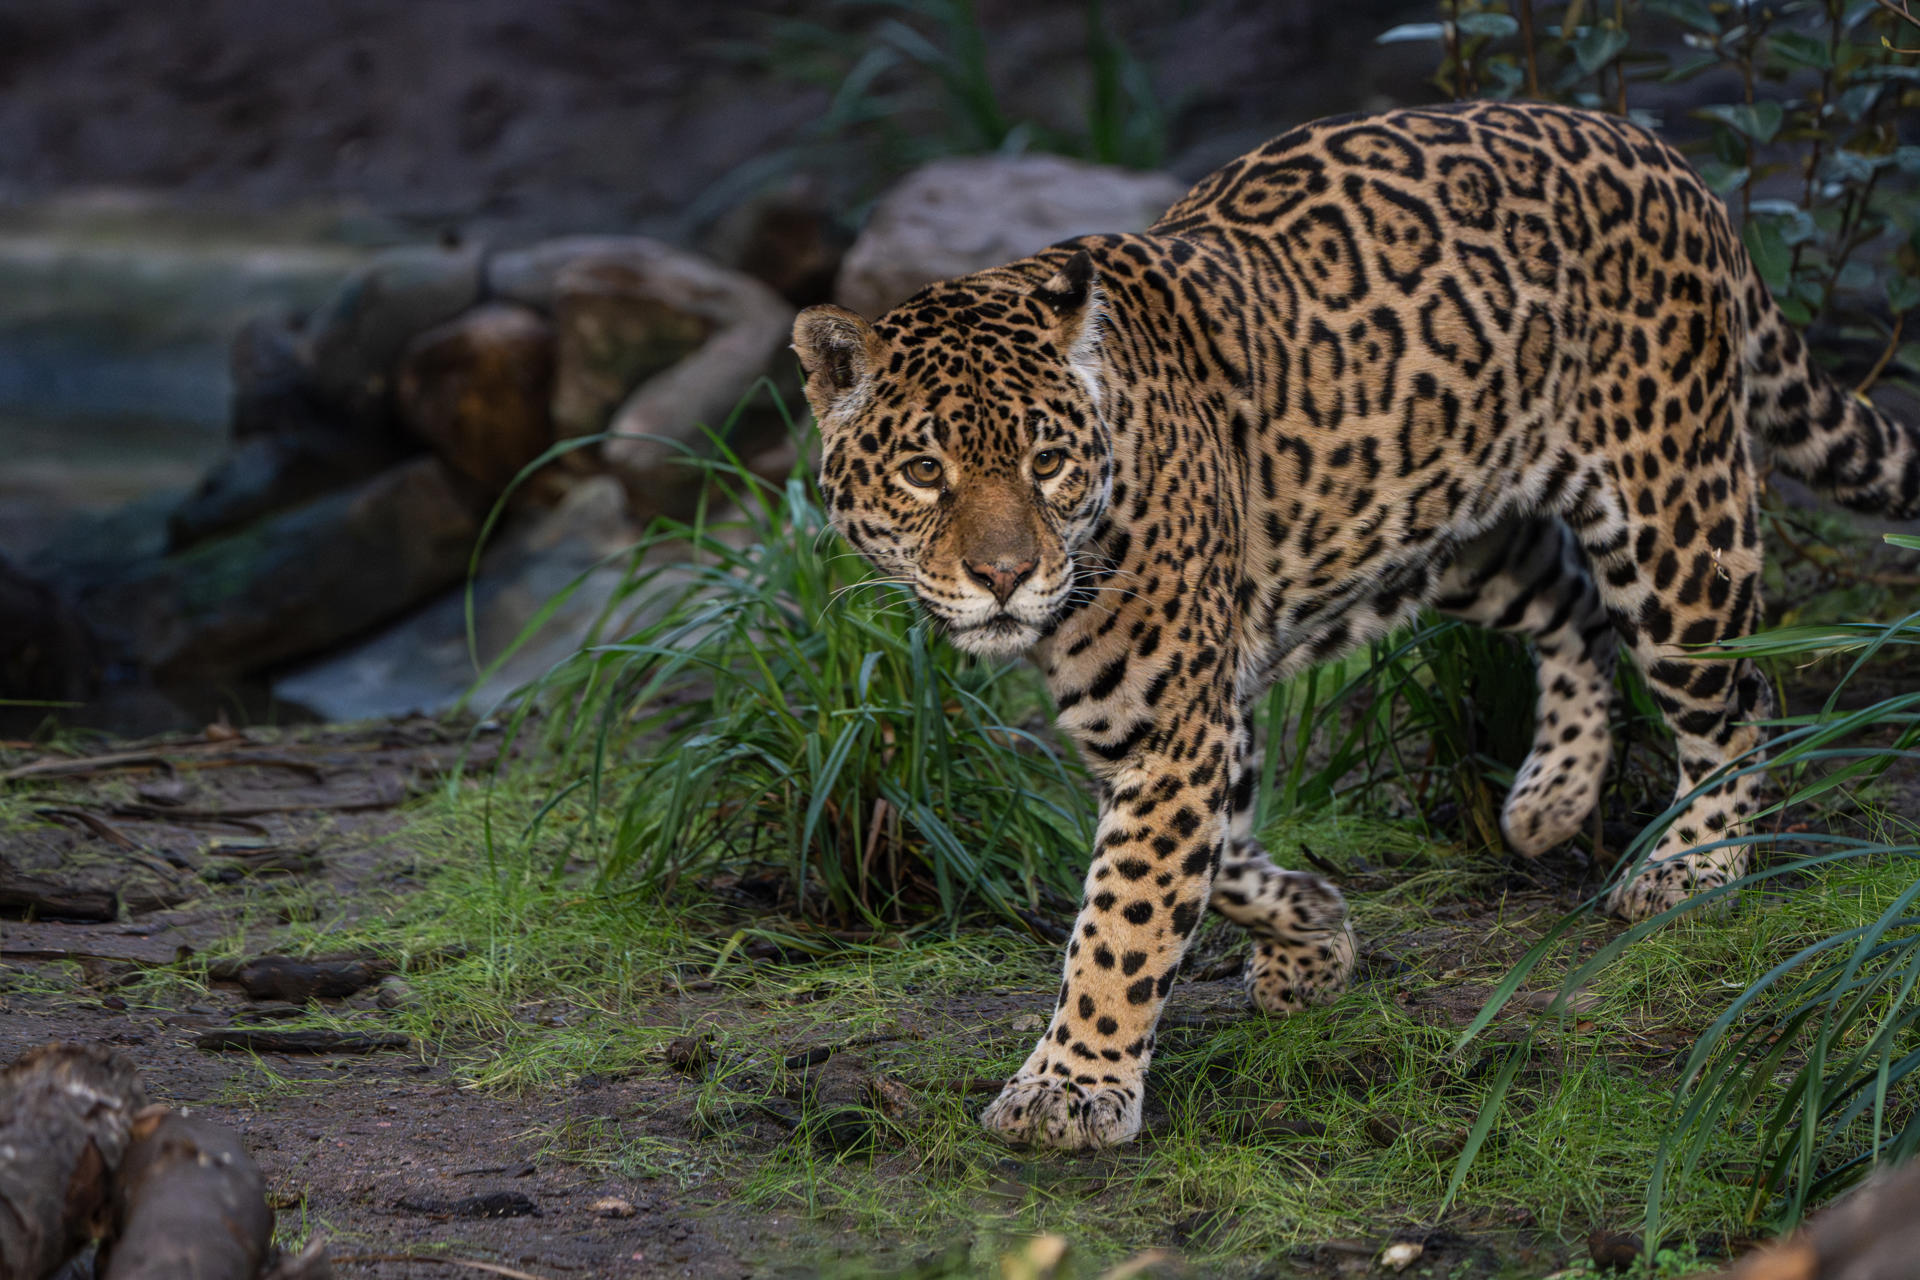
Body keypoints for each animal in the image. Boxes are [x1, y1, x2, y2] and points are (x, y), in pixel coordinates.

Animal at [790, 100, 1920, 1151]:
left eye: (1048, 462)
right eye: (924, 470)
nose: (1004, 575)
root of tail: (1659, 152)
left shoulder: (1172, 731)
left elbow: (1125, 917)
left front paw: (1071, 1086)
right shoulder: (1189, 722)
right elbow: (1219, 858)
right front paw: (1314, 935)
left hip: (1674, 519)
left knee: (1739, 695)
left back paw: (1694, 865)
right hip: (1461, 531)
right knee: (1572, 609)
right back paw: (1550, 798)